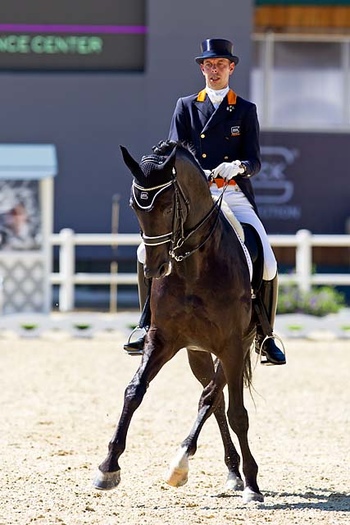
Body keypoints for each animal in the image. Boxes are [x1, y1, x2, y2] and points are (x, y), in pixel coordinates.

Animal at [93, 141, 262, 502]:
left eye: (169, 204)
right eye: (134, 205)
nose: (155, 267)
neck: (193, 268)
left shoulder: (232, 345)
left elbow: (235, 412)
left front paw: (252, 484)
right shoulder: (163, 339)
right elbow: (134, 391)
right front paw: (108, 467)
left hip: (235, 348)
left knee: (216, 400)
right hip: (197, 353)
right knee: (215, 399)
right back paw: (228, 472)